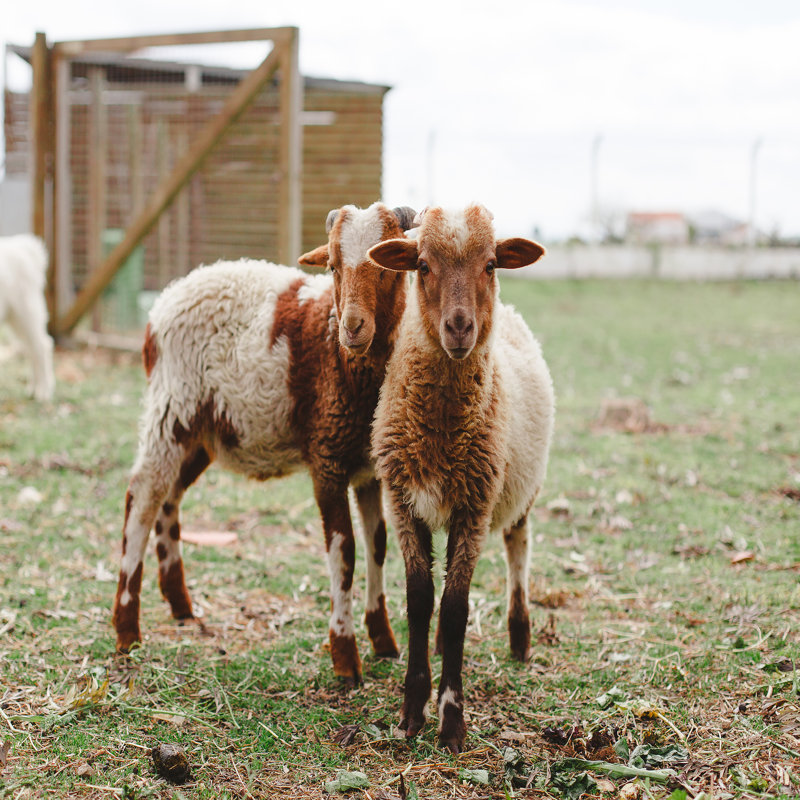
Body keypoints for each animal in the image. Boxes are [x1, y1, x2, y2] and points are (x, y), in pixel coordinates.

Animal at [112, 202, 417, 685]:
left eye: (387, 266)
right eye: (333, 266)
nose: (352, 327)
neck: (347, 362)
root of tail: (160, 308)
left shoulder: (367, 467)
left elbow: (378, 545)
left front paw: (384, 641)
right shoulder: (327, 458)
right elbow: (345, 553)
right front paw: (345, 657)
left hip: (202, 432)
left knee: (168, 496)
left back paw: (180, 605)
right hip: (172, 408)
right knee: (142, 497)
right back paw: (126, 628)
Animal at [367, 204, 554, 752]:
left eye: (491, 264)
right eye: (422, 265)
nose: (458, 327)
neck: (440, 435)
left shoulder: (474, 506)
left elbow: (455, 608)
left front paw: (451, 720)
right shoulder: (403, 502)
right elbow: (419, 601)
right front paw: (411, 710)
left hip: (521, 490)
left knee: (518, 549)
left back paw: (520, 635)